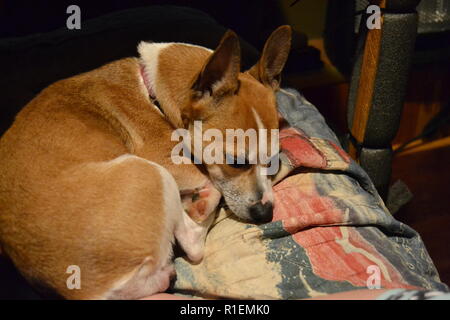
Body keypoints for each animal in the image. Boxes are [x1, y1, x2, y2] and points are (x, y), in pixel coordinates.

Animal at [0, 26, 292, 298]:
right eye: (235, 161)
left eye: (274, 160)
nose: (266, 214)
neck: (152, 90)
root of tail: (83, 293)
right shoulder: (166, 159)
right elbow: (208, 180)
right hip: (152, 172)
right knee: (194, 245)